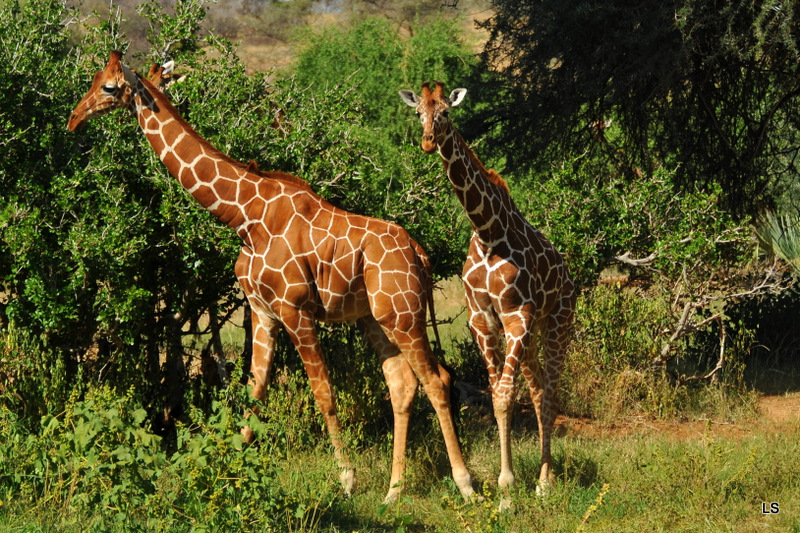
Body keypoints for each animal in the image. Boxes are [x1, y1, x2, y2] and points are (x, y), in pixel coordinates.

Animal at [69, 51, 476, 502]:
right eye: (93, 80)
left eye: (109, 87)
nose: (73, 119)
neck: (245, 217)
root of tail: (420, 255)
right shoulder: (263, 312)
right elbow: (254, 391)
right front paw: (228, 472)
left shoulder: (296, 311)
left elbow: (323, 393)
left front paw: (347, 479)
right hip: (376, 318)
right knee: (402, 384)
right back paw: (393, 491)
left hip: (404, 316)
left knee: (437, 380)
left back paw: (466, 485)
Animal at [400, 81, 576, 496]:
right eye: (419, 113)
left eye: (446, 111)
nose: (428, 141)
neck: (487, 231)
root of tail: (567, 274)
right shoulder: (483, 321)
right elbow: (498, 395)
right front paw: (505, 482)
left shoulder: (516, 316)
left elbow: (504, 396)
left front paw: (507, 487)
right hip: (530, 334)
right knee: (539, 388)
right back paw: (542, 475)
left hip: (556, 323)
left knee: (551, 392)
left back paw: (544, 482)